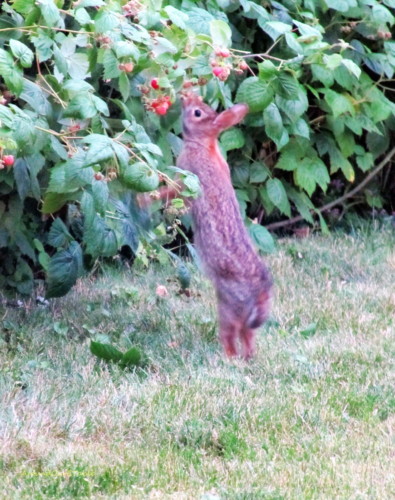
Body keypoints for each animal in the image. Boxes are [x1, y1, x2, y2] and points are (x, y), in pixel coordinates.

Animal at [176, 93, 272, 360]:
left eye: (197, 113)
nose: (184, 99)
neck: (203, 144)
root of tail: (261, 293)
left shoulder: (186, 175)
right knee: (248, 337)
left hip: (228, 305)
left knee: (230, 335)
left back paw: (229, 358)